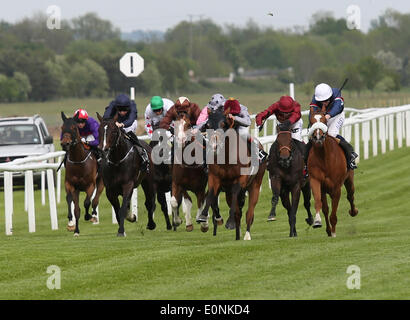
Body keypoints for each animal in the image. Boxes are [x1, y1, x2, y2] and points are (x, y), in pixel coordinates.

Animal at [197, 107, 268, 240]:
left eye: (223, 124)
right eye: (208, 125)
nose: (214, 145)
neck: (227, 158)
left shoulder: (241, 179)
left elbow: (236, 196)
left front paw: (229, 222)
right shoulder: (214, 177)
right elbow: (210, 195)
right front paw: (204, 218)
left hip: (255, 185)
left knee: (249, 211)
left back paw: (247, 235)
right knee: (238, 212)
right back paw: (237, 234)